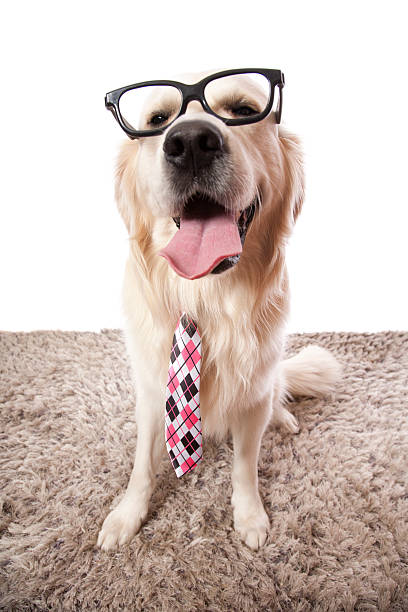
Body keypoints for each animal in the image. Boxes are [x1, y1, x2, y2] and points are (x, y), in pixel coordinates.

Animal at [96, 69, 342, 552]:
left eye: (244, 110)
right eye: (158, 119)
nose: (190, 142)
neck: (205, 295)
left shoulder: (252, 397)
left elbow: (245, 465)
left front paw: (249, 516)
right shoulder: (151, 391)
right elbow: (141, 465)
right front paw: (127, 515)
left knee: (278, 393)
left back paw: (284, 418)